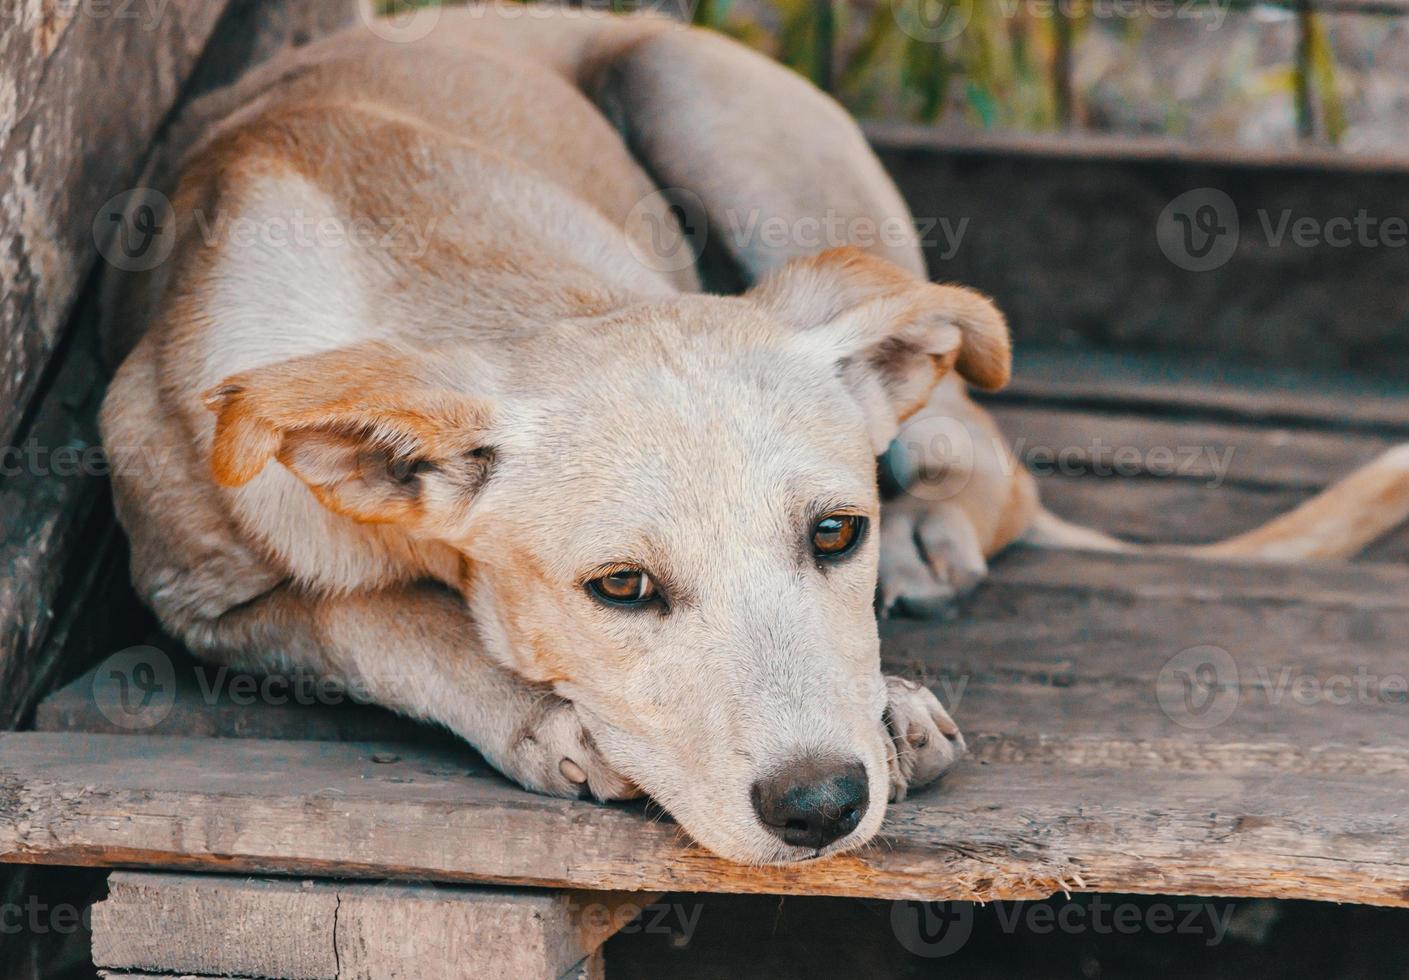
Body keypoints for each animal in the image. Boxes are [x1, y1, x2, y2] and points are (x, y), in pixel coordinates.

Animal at [99, 5, 1409, 867]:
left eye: (834, 532)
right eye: (619, 586)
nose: (822, 802)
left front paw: (884, 699)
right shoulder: (192, 598)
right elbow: (372, 619)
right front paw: (547, 718)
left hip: (714, 110)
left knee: (992, 454)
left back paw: (933, 530)